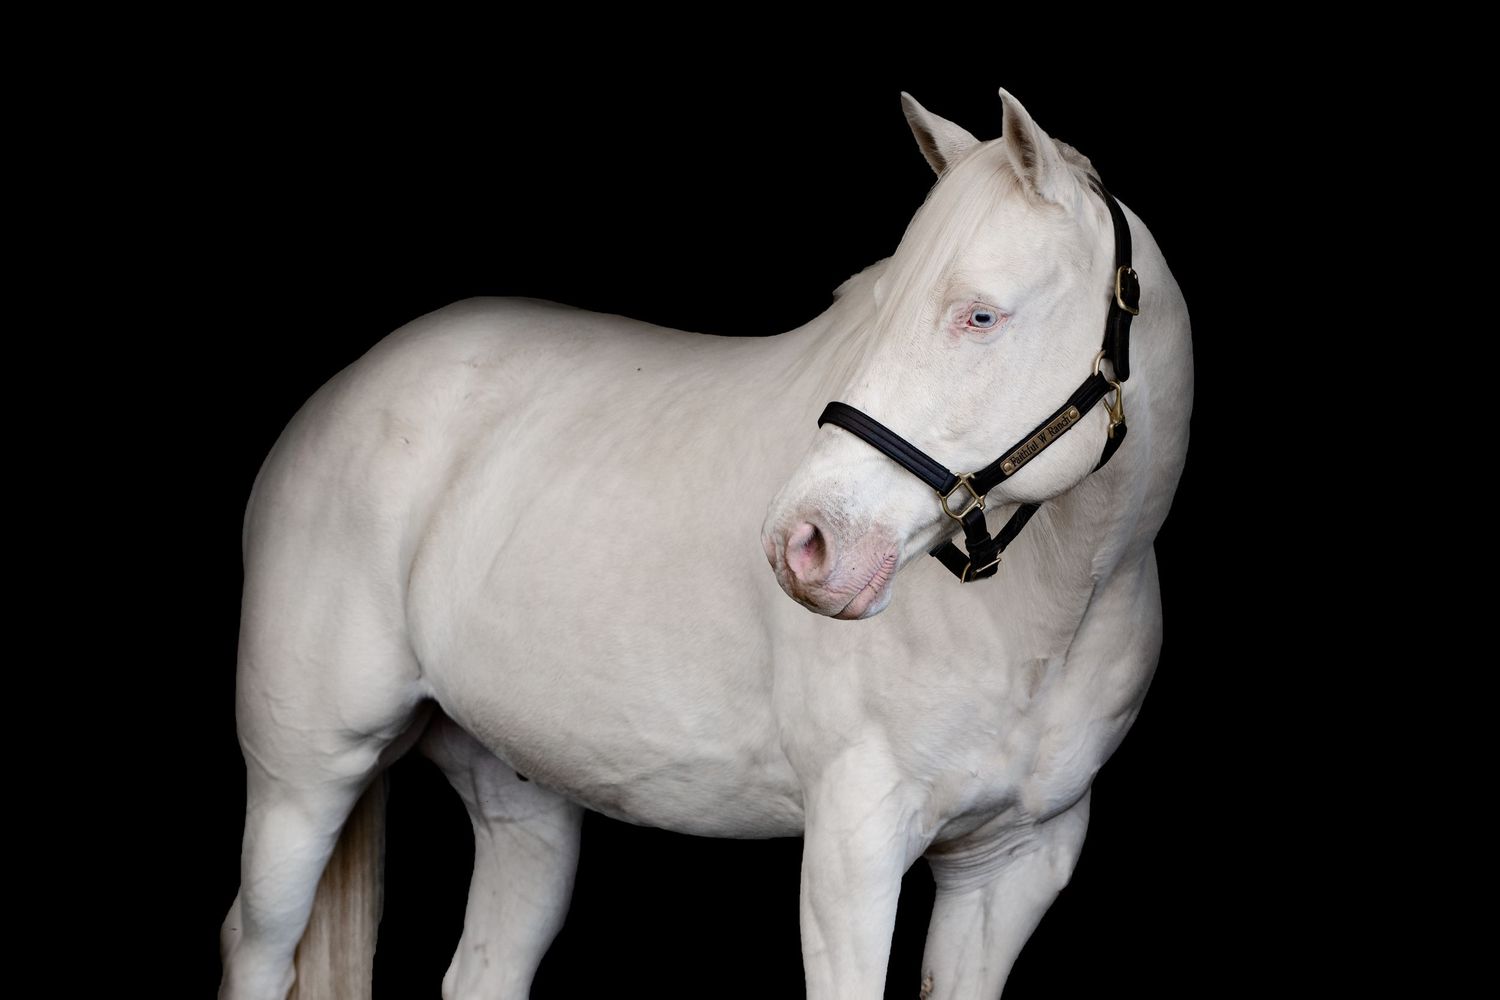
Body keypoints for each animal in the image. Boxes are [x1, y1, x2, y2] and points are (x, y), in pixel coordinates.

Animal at [218, 87, 1192, 999]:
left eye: (982, 317)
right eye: (880, 305)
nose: (804, 544)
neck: (1046, 619)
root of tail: (344, 389)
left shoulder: (1010, 868)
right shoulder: (852, 853)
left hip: (520, 788)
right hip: (304, 781)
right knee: (257, 946)